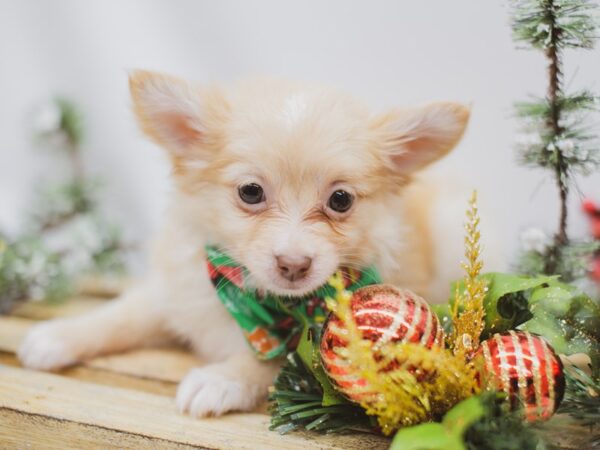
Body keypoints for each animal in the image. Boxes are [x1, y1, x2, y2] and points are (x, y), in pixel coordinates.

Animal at [16, 70, 472, 418]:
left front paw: (220, 379)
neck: (252, 297)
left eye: (340, 200)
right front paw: (58, 335)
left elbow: (267, 362)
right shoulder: (177, 291)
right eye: (251, 192)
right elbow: (123, 315)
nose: (293, 264)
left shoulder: (305, 356)